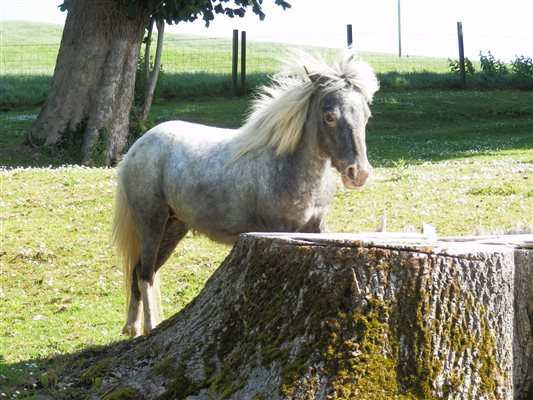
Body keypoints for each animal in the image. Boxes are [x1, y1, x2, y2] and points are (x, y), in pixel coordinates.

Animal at [112, 51, 378, 336]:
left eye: (367, 116)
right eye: (330, 117)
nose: (358, 173)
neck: (288, 164)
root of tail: (136, 147)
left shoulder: (316, 230)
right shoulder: (280, 230)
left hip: (173, 226)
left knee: (138, 271)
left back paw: (131, 328)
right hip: (151, 222)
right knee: (145, 275)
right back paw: (148, 327)